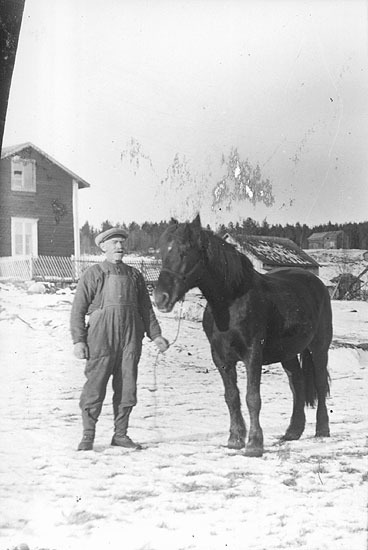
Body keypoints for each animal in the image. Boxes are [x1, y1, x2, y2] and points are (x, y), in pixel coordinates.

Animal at [154, 216, 332, 458]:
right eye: (163, 251)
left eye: (184, 251)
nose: (160, 298)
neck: (230, 303)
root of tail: (316, 283)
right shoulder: (221, 358)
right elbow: (232, 397)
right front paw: (235, 439)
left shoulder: (253, 354)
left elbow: (252, 397)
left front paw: (255, 444)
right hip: (288, 353)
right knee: (297, 383)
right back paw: (293, 431)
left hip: (319, 347)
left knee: (321, 384)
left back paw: (322, 429)